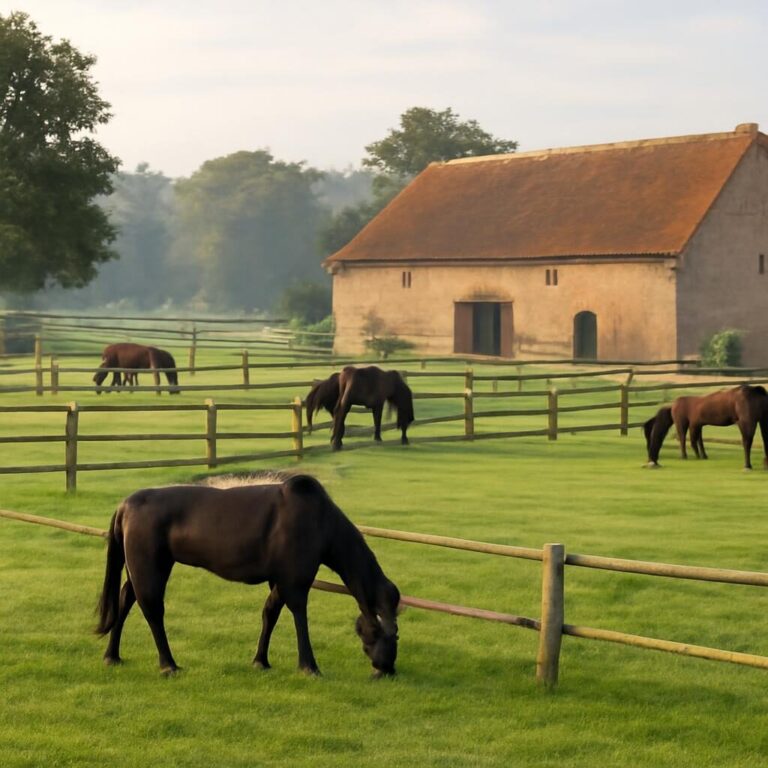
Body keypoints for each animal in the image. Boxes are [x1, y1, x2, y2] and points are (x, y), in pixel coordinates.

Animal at [95, 474, 401, 677]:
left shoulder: (279, 578)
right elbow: (299, 615)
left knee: (125, 600)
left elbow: (270, 613)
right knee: (152, 609)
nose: (388, 668)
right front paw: (309, 665)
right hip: (150, 564)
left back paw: (112, 655)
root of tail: (125, 505)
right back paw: (168, 664)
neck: (322, 522)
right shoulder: (296, 578)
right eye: (392, 635)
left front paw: (260, 660)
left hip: (144, 565)